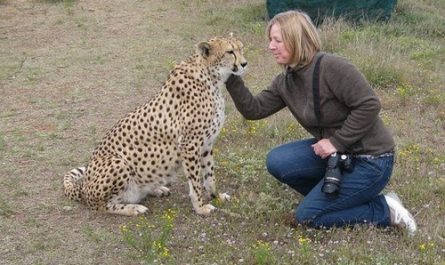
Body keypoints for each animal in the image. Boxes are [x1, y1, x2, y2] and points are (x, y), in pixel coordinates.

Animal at [63, 36, 246, 216]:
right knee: (101, 206)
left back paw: (156, 190)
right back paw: (133, 208)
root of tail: (83, 186)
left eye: (241, 48)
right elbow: (195, 182)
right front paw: (200, 207)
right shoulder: (190, 145)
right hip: (118, 163)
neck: (211, 76)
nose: (244, 64)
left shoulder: (206, 144)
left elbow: (210, 176)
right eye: (230, 51)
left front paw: (217, 197)